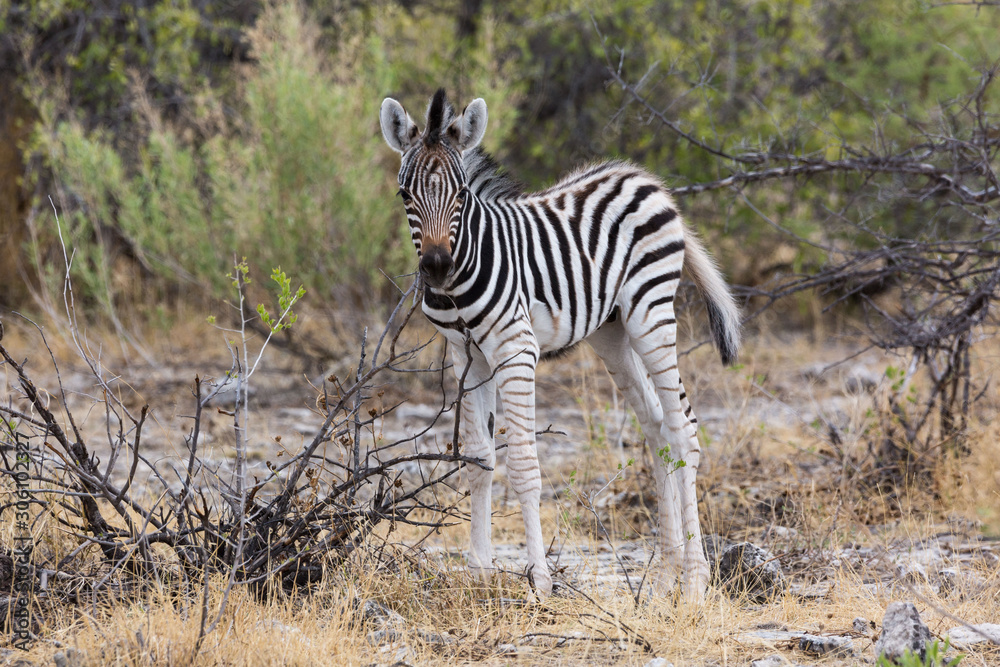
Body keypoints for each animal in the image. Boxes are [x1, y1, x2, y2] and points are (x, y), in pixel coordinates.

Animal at [379, 89, 740, 600]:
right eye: (405, 195)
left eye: (462, 195)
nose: (435, 268)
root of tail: (645, 180)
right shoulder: (465, 357)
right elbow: (478, 460)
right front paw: (479, 575)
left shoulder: (515, 348)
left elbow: (524, 464)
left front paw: (539, 580)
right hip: (611, 332)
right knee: (655, 427)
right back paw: (664, 578)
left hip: (650, 313)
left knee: (682, 429)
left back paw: (693, 582)